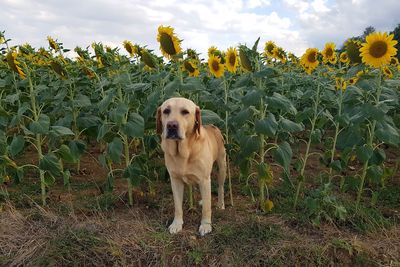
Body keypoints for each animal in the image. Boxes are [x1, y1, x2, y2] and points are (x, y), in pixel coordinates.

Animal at [157, 98, 227, 237]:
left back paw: (220, 204)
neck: (184, 152)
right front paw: (176, 224)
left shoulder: (204, 179)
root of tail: (213, 126)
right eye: (166, 111)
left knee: (220, 187)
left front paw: (206, 225)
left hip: (222, 167)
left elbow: (206, 209)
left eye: (185, 112)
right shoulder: (175, 180)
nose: (171, 125)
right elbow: (178, 206)